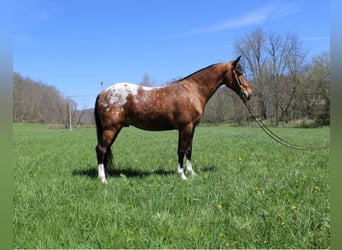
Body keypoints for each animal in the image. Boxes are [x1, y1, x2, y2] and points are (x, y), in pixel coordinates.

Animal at [93, 55, 251, 183]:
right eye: (239, 73)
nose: (249, 93)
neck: (193, 90)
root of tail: (102, 93)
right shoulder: (185, 127)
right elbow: (181, 150)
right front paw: (182, 175)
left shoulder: (192, 128)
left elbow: (189, 150)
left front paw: (191, 173)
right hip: (111, 128)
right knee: (101, 149)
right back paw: (102, 179)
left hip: (115, 128)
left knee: (105, 150)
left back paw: (106, 175)